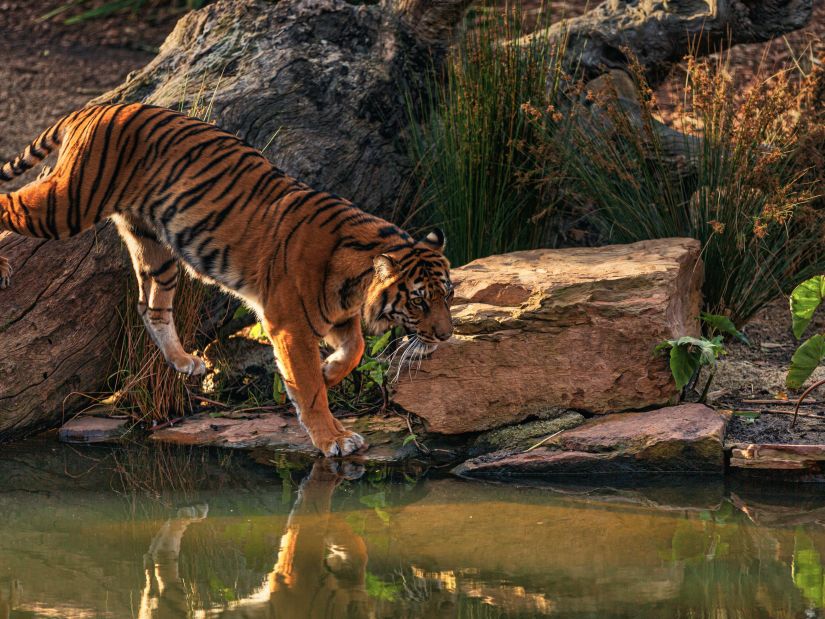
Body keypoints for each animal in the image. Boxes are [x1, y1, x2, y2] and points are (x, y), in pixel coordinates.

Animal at [0, 104, 454, 458]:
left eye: (447, 296)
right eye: (418, 301)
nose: (447, 336)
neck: (356, 284)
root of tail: (98, 107)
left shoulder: (337, 316)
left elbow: (355, 350)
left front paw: (329, 372)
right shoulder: (288, 324)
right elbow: (308, 388)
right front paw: (333, 437)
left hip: (154, 246)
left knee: (150, 307)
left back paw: (184, 361)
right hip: (67, 204)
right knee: (9, 203)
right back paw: (4, 266)